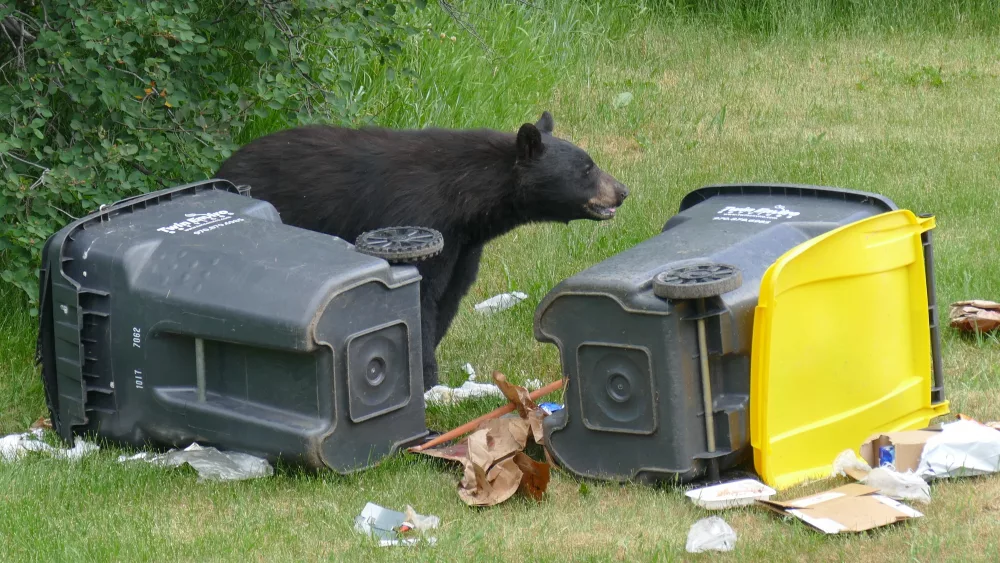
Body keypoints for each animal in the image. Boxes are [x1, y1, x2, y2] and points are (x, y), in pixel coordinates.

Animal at [214, 111, 630, 391]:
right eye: (587, 168)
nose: (622, 190)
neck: (466, 200)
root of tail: (223, 167)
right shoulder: (421, 219)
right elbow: (419, 300)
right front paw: (427, 384)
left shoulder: (463, 247)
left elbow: (448, 298)